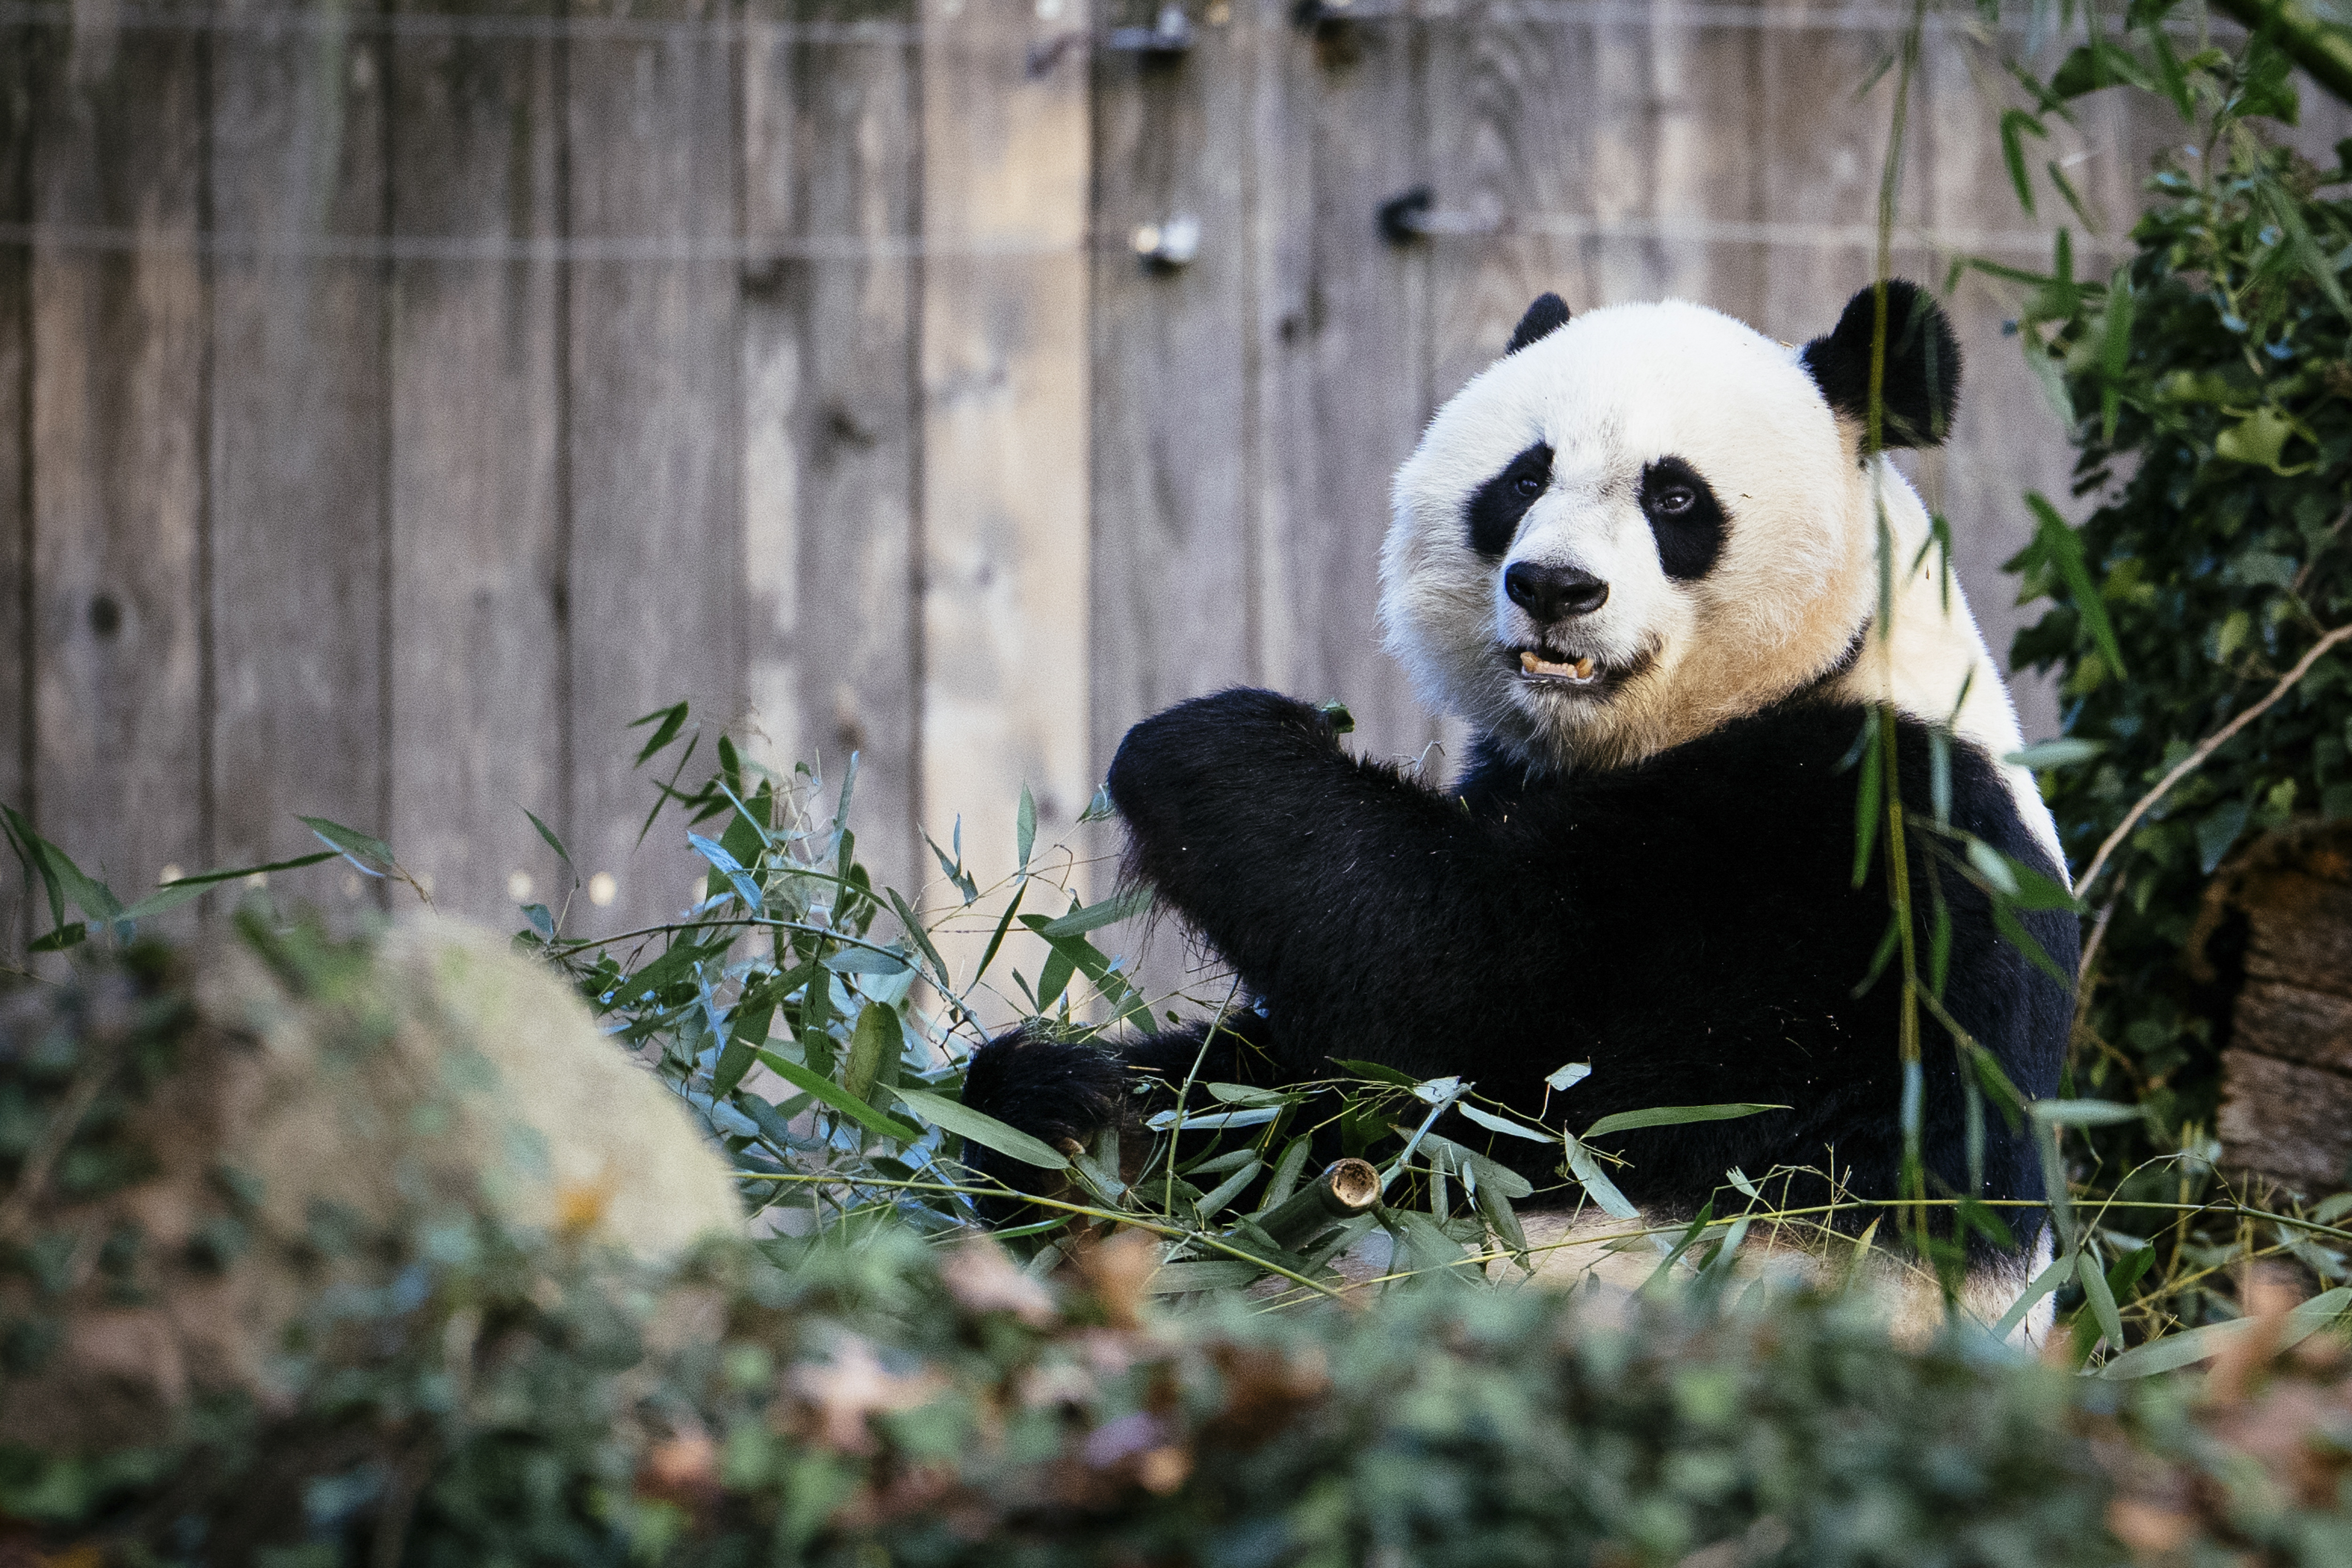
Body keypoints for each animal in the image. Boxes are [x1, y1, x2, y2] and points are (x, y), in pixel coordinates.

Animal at [955, 282, 2079, 1335]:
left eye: (1676, 496)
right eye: (1524, 479)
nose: (1554, 586)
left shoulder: (1855, 845)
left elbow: (1472, 1010)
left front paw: (1204, 745)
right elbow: (1296, 1088)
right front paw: (1077, 1105)